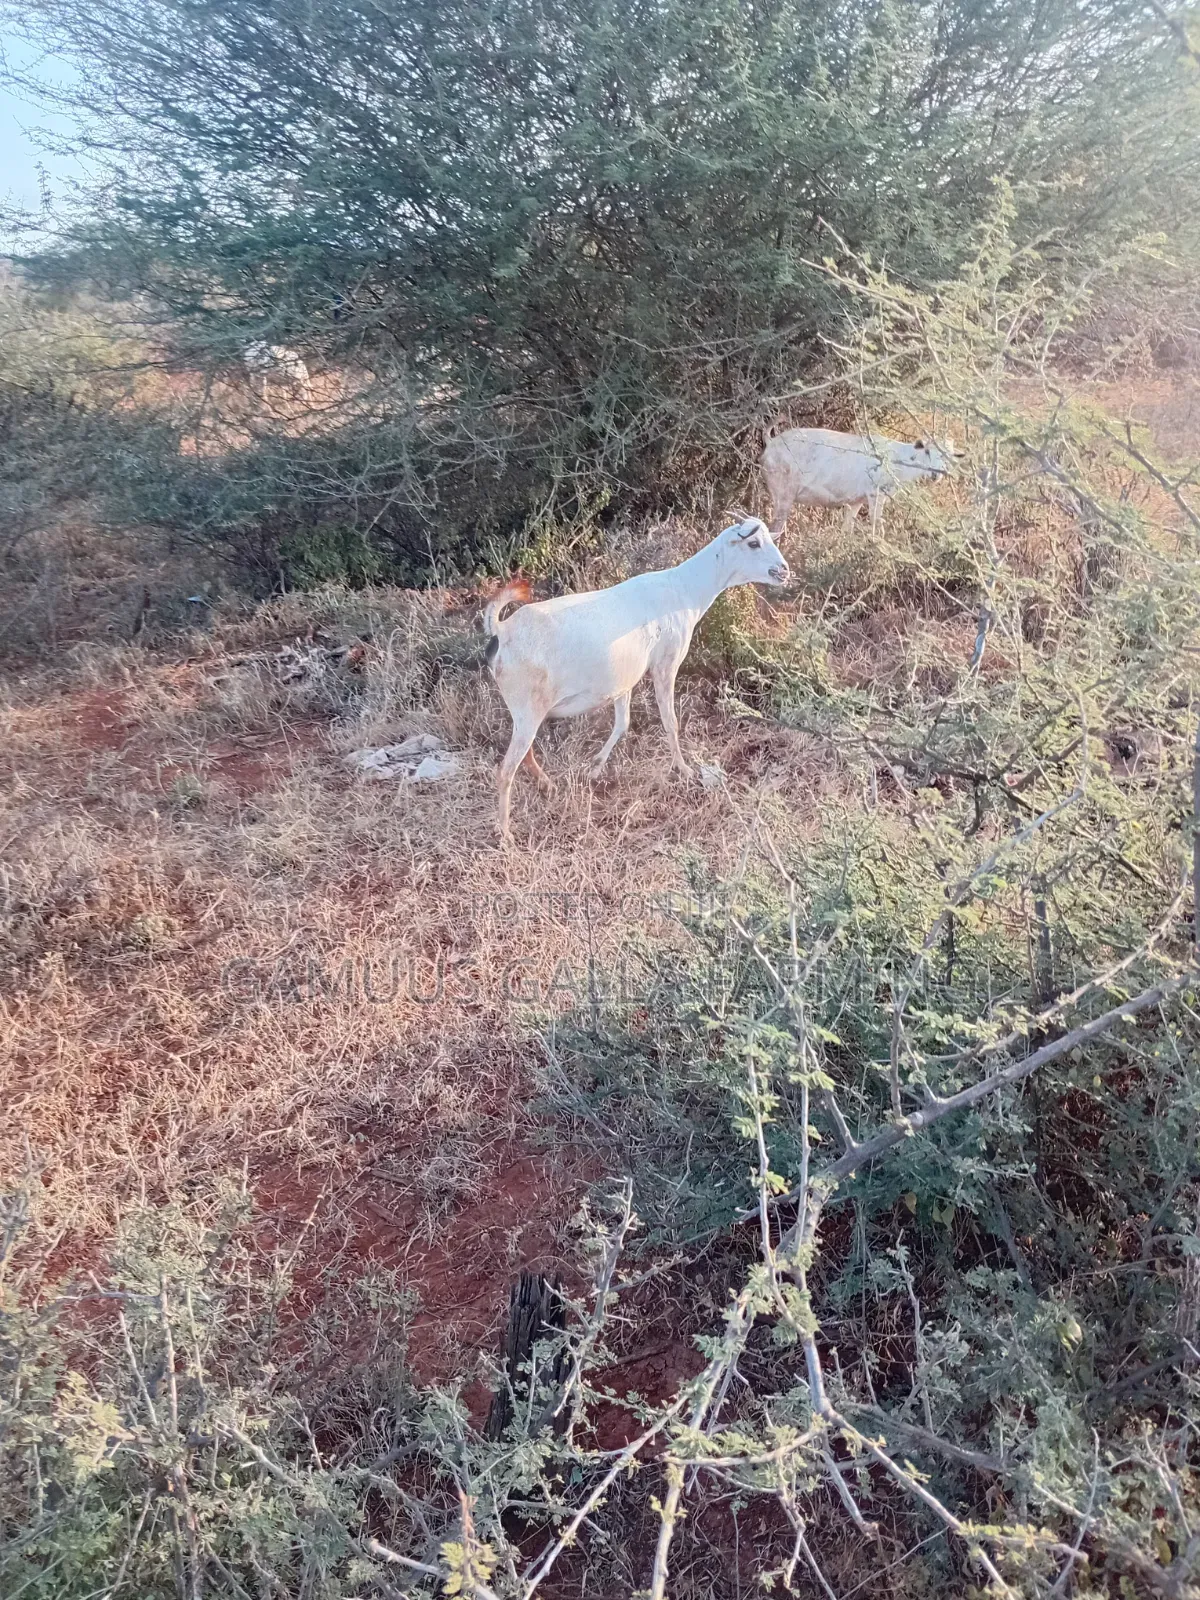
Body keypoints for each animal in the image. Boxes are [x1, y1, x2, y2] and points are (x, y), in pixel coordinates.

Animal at [482, 518, 790, 839]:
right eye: (753, 543)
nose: (783, 571)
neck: (683, 589)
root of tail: (502, 631)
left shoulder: (623, 681)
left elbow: (623, 724)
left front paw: (594, 768)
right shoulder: (666, 663)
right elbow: (670, 722)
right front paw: (685, 771)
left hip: (526, 712)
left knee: (525, 755)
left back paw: (549, 786)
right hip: (528, 709)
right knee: (506, 770)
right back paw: (506, 834)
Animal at [762, 426, 958, 536]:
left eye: (948, 455)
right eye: (927, 451)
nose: (936, 474)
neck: (898, 459)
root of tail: (770, 442)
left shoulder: (857, 501)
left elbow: (847, 528)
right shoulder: (875, 493)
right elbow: (877, 524)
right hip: (784, 493)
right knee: (775, 528)